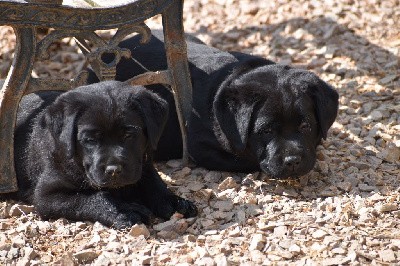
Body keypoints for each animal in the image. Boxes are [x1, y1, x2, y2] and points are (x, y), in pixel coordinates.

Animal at [9, 81, 197, 229]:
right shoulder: (46, 196)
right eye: (90, 140)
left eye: (129, 135)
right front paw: (125, 211)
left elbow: (154, 184)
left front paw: (174, 202)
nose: (113, 170)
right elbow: (92, 198)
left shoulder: (142, 165)